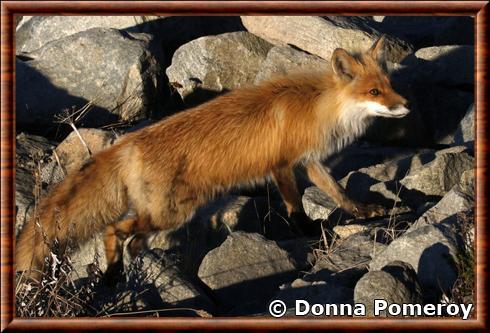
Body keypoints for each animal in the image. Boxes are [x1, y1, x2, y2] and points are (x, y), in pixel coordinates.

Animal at [15, 37, 410, 278]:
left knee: (134, 239)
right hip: (171, 212)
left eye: (390, 86)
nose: (406, 105)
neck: (317, 107)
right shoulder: (282, 165)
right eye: (374, 92)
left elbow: (340, 193)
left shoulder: (310, 162)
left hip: (165, 215)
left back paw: (118, 275)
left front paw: (367, 212)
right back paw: (113, 273)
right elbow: (295, 206)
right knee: (114, 230)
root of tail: (127, 143)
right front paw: (308, 231)